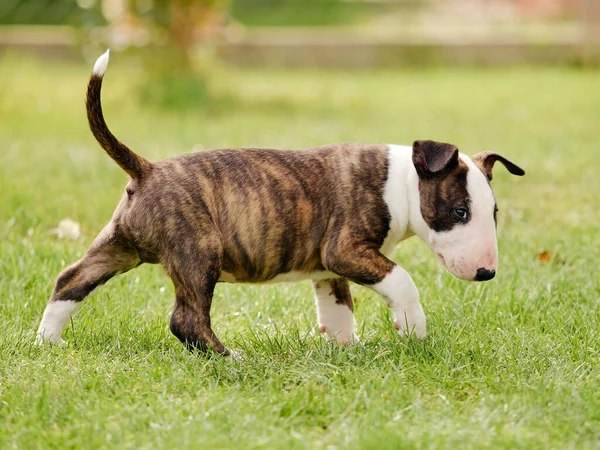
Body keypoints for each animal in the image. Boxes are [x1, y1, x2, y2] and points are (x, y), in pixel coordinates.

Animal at [36, 51, 524, 356]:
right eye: (459, 212)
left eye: (494, 214)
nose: (487, 273)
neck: (400, 181)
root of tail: (147, 169)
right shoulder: (345, 249)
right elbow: (402, 281)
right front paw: (412, 328)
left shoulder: (329, 268)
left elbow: (338, 310)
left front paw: (349, 351)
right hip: (198, 252)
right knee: (185, 319)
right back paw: (230, 359)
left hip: (119, 245)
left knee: (70, 279)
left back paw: (47, 342)